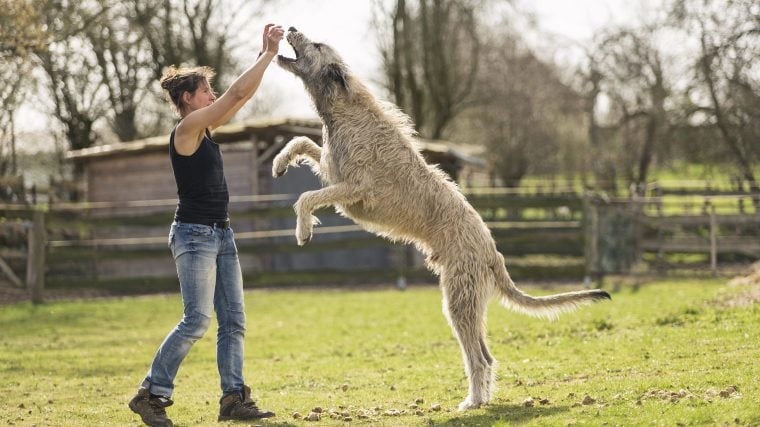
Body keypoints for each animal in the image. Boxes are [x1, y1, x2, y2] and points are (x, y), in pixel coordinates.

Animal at [274, 27, 612, 412]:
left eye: (316, 45)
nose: (290, 28)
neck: (344, 108)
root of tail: (492, 251)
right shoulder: (333, 171)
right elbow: (302, 142)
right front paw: (280, 162)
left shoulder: (355, 188)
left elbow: (306, 197)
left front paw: (302, 229)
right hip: (468, 301)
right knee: (486, 356)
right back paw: (480, 398)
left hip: (458, 299)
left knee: (478, 358)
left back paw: (473, 401)